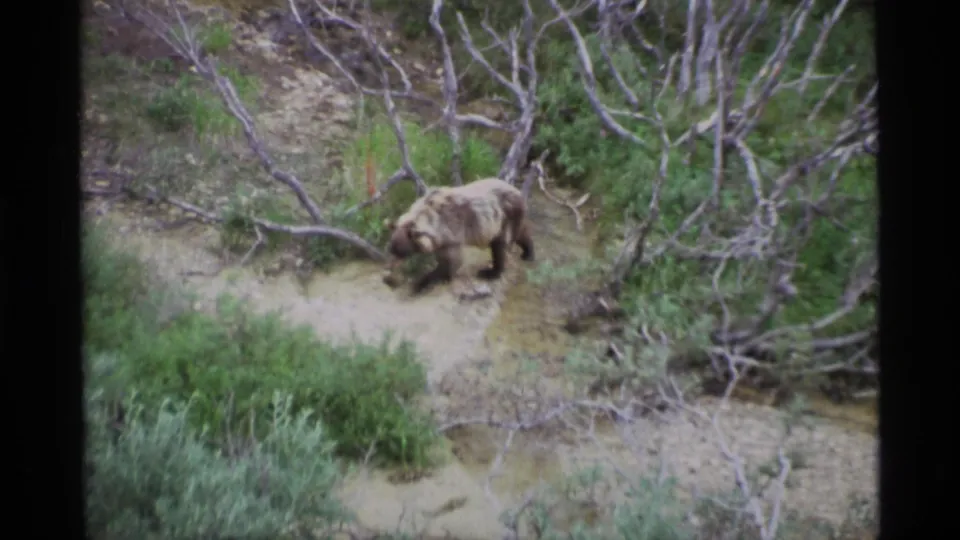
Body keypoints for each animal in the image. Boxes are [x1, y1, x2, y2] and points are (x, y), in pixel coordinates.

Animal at [384, 177, 535, 295]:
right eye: (391, 249)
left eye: (401, 253)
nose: (388, 276)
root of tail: (517, 190)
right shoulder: (441, 239)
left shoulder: (452, 231)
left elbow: (452, 261)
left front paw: (422, 283)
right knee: (521, 234)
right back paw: (528, 252)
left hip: (504, 217)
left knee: (500, 245)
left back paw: (490, 272)